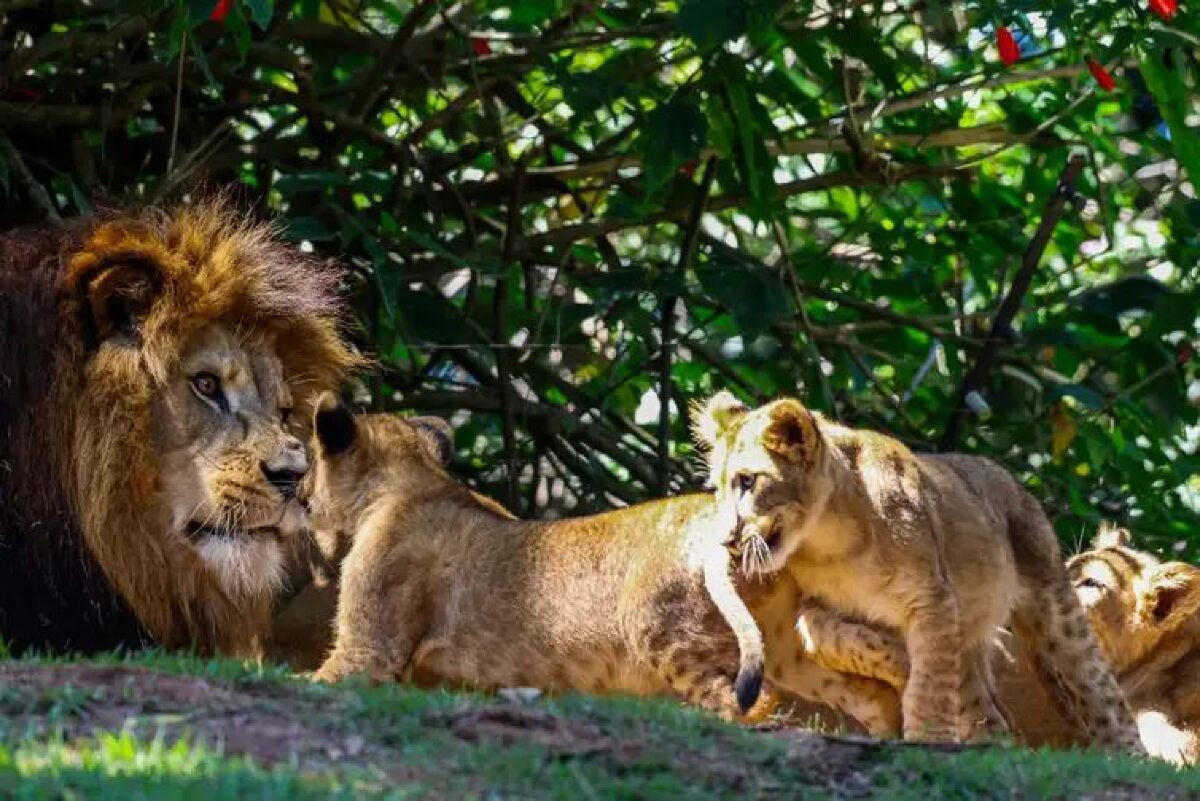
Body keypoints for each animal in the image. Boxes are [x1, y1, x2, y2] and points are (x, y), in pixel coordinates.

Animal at [300, 393, 902, 724]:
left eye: (305, 486)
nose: (296, 495)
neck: (411, 483)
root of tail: (750, 535)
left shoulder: (368, 652)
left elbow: (318, 677)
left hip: (662, 631)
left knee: (748, 705)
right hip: (784, 645)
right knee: (871, 689)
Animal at [696, 390, 1142, 753]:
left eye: (748, 482)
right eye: (717, 489)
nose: (727, 540)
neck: (827, 542)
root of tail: (1011, 481)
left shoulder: (933, 599)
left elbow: (930, 686)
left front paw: (928, 736)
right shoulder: (817, 605)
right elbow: (828, 635)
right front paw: (898, 663)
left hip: (1054, 607)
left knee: (1101, 691)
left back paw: (1128, 756)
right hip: (973, 638)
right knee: (990, 713)